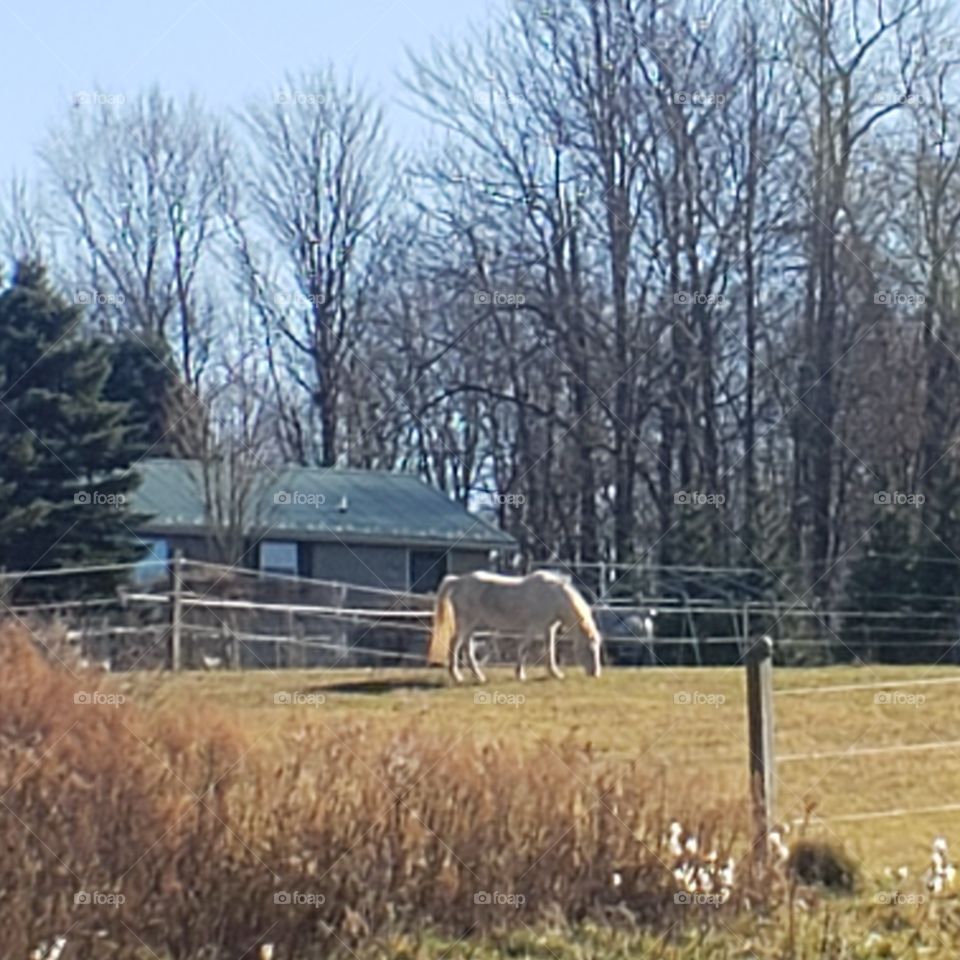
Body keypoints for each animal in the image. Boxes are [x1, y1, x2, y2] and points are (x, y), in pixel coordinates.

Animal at [426, 570, 603, 683]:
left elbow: (550, 651)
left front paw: (555, 674)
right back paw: (461, 677)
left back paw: (477, 677)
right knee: (456, 645)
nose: (595, 674)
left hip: (470, 626)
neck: (553, 596)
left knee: (466, 648)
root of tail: (458, 581)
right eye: (589, 649)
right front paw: (520, 675)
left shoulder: (549, 628)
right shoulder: (532, 628)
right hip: (466, 624)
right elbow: (524, 649)